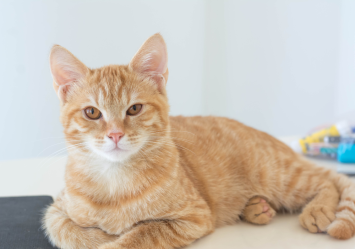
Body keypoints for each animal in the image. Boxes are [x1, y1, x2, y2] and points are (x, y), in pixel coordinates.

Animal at [43, 33, 355, 249]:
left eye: (134, 109)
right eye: (92, 113)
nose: (115, 134)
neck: (114, 180)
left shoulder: (194, 217)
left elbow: (141, 233)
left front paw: (116, 238)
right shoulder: (57, 208)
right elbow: (64, 229)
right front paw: (99, 235)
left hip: (281, 175)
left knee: (328, 181)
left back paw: (317, 209)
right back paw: (257, 208)